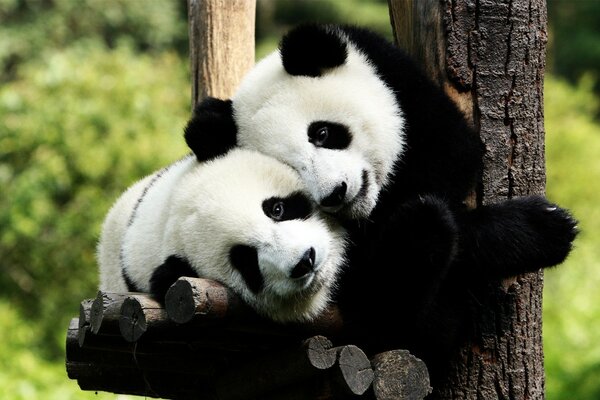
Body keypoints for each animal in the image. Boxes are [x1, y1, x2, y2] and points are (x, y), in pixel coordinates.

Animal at [185, 25, 580, 384]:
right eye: (292, 170)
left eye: (322, 133)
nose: (335, 193)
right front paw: (544, 228)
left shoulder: (403, 89)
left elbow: (454, 159)